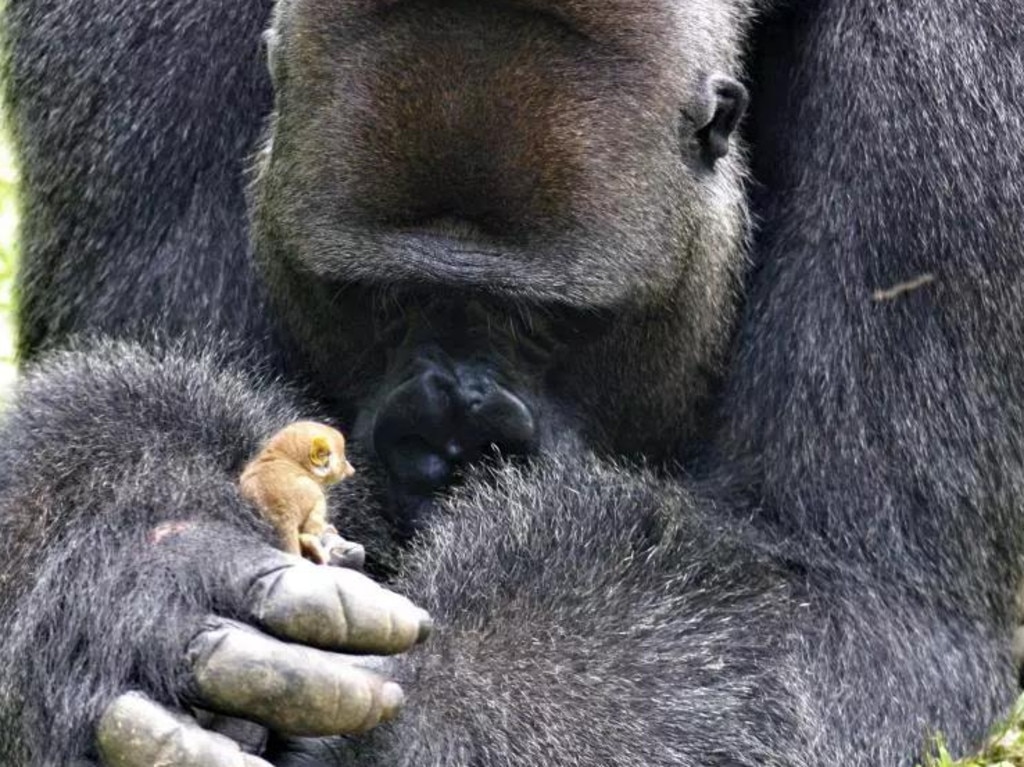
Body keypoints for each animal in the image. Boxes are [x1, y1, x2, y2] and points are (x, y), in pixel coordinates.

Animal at [0, 0, 1019, 761]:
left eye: (550, 320)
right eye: (380, 299)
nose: (450, 441)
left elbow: (859, 591)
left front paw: (445, 706)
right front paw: (138, 549)